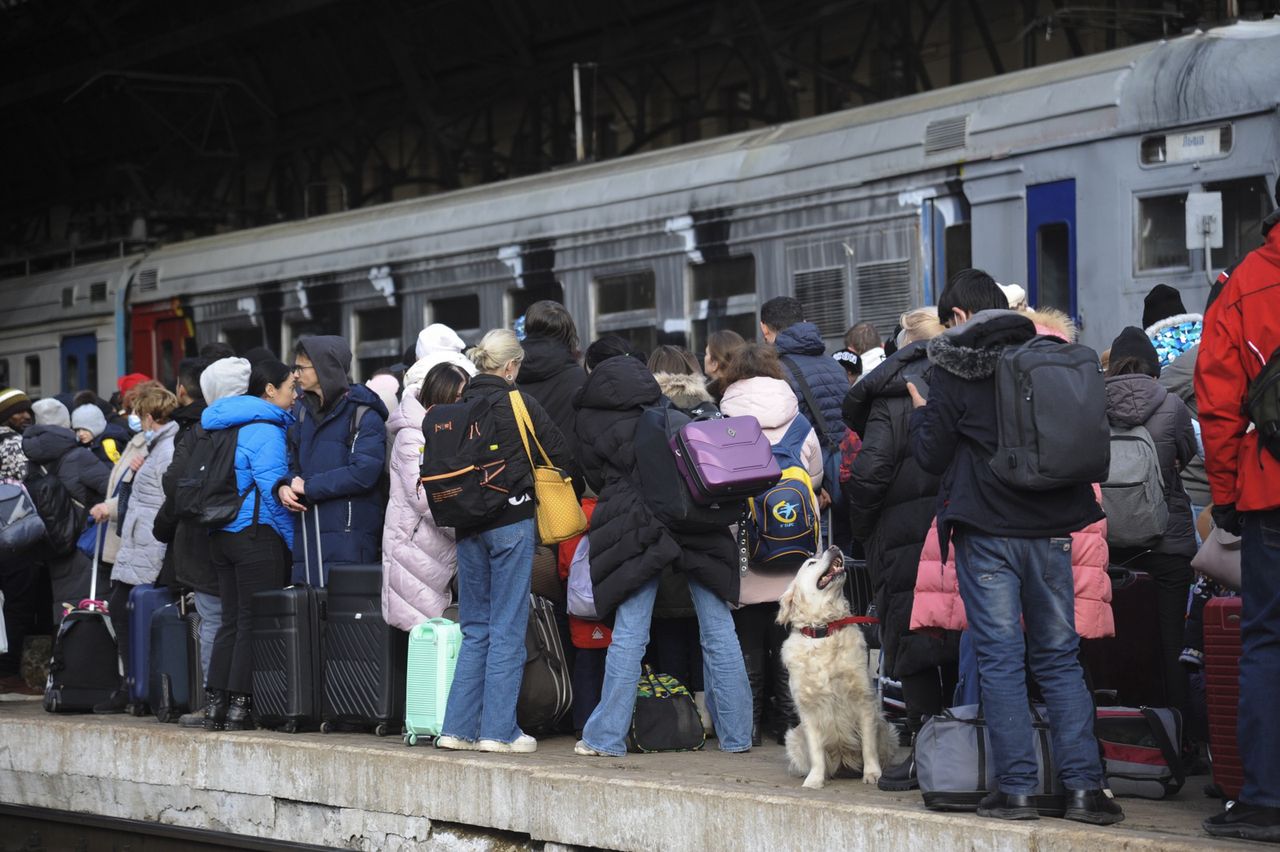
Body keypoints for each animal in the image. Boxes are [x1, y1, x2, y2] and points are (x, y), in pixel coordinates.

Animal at [778, 547, 890, 788]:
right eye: (811, 563)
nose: (834, 547)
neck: (825, 630)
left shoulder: (864, 701)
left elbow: (868, 746)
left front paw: (872, 774)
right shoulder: (808, 709)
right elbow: (816, 751)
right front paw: (814, 780)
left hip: (887, 728)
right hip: (794, 737)